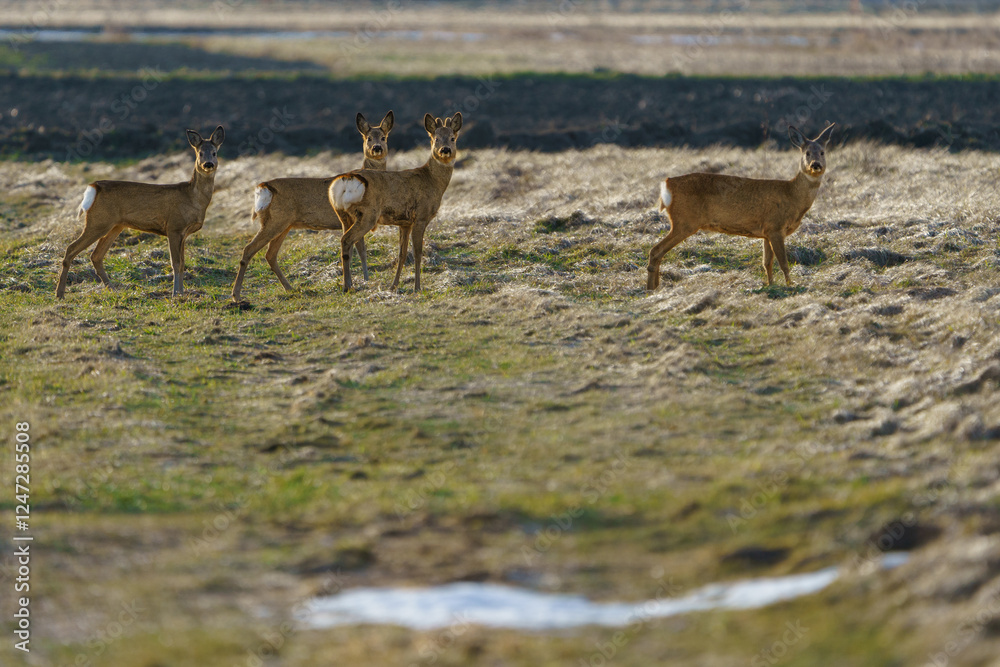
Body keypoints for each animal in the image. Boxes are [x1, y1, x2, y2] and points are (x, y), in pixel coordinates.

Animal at [56, 126, 225, 299]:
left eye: (214, 153)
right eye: (200, 153)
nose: (208, 164)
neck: (193, 198)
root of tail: (94, 187)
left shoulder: (183, 234)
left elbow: (183, 263)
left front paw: (181, 294)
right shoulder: (174, 227)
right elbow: (176, 263)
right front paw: (175, 295)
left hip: (115, 225)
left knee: (96, 256)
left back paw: (113, 289)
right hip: (98, 221)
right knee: (71, 249)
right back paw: (60, 293)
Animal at [230, 111, 394, 302]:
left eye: (384, 137)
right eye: (368, 138)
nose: (377, 148)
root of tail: (263, 188)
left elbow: (360, 250)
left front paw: (363, 281)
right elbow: (357, 249)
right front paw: (360, 282)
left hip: (284, 224)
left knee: (270, 254)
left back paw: (290, 288)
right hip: (276, 221)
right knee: (249, 249)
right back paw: (236, 295)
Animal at [329, 112, 461, 293]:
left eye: (453, 138)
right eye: (436, 138)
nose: (445, 150)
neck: (432, 181)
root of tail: (345, 181)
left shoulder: (404, 223)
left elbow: (402, 254)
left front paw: (394, 285)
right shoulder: (421, 217)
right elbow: (418, 253)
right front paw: (417, 287)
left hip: (343, 215)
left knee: (347, 242)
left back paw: (348, 284)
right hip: (368, 215)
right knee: (346, 240)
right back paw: (347, 286)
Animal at [647, 123, 835, 291]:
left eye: (822, 152)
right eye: (807, 153)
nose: (816, 164)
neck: (792, 196)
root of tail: (667, 185)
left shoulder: (766, 232)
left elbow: (767, 263)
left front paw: (771, 285)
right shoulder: (776, 226)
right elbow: (783, 262)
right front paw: (791, 285)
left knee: (657, 252)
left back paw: (654, 288)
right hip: (684, 221)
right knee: (656, 250)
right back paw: (651, 288)